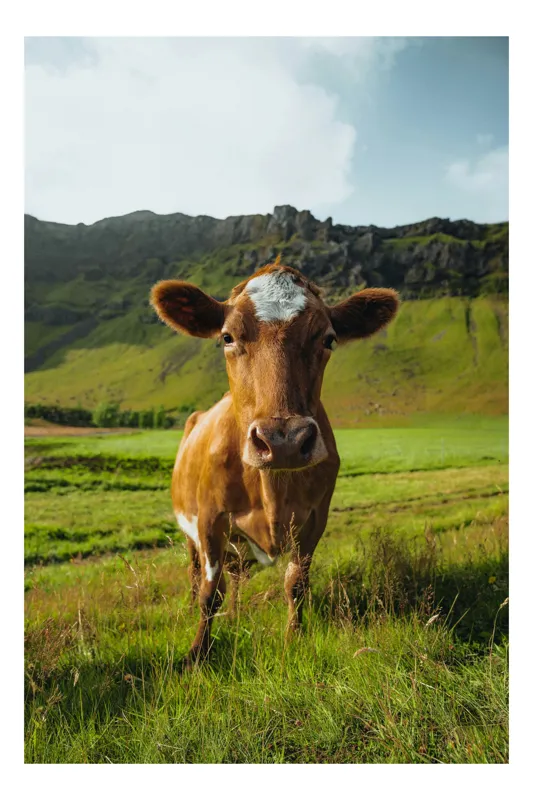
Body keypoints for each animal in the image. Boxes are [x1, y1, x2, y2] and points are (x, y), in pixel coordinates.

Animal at [150, 263, 398, 664]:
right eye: (227, 337)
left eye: (328, 339)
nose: (284, 441)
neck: (272, 489)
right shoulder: (209, 521)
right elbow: (209, 593)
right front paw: (197, 653)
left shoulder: (314, 520)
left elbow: (295, 584)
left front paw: (292, 640)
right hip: (190, 532)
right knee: (195, 573)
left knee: (237, 577)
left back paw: (237, 614)